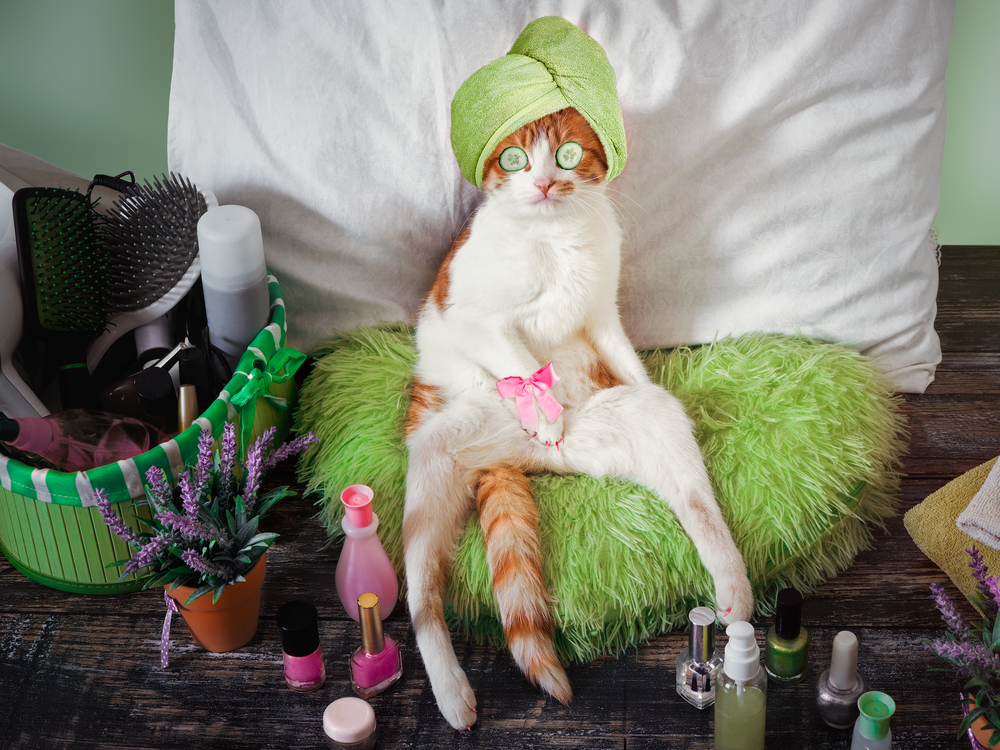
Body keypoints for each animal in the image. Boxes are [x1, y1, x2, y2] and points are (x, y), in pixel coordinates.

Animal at [400, 108, 752, 732]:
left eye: (566, 154)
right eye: (514, 158)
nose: (543, 183)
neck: (553, 237)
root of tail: (523, 461)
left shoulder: (601, 316)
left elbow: (623, 354)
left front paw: (604, 383)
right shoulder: (468, 318)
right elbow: (518, 356)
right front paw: (543, 404)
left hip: (649, 423)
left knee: (700, 509)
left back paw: (735, 600)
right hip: (434, 456)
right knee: (423, 596)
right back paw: (452, 691)